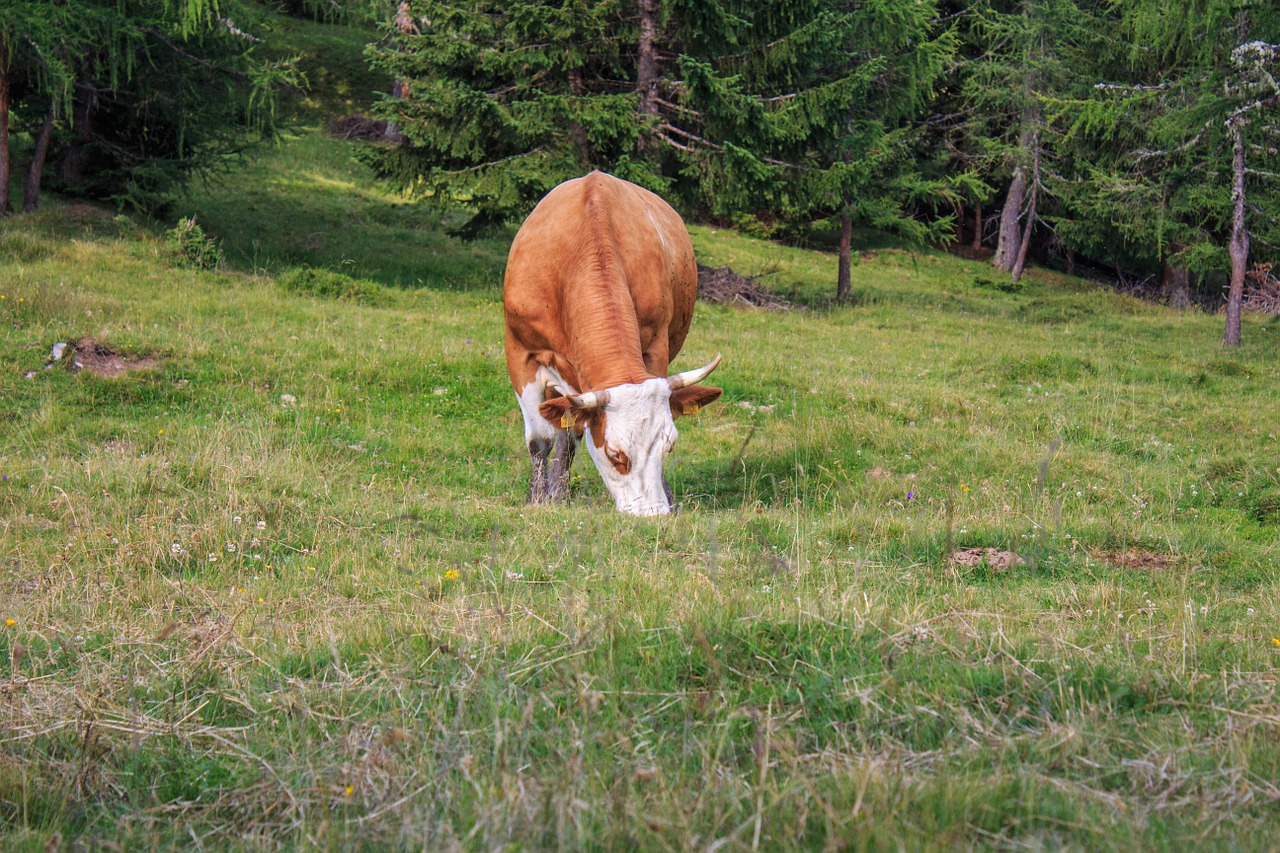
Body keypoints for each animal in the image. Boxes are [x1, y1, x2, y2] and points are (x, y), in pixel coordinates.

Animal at [501, 166, 727, 512]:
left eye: (670, 445)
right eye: (614, 454)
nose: (653, 515)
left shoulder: (654, 347)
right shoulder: (521, 352)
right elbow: (540, 439)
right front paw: (536, 501)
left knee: (570, 431)